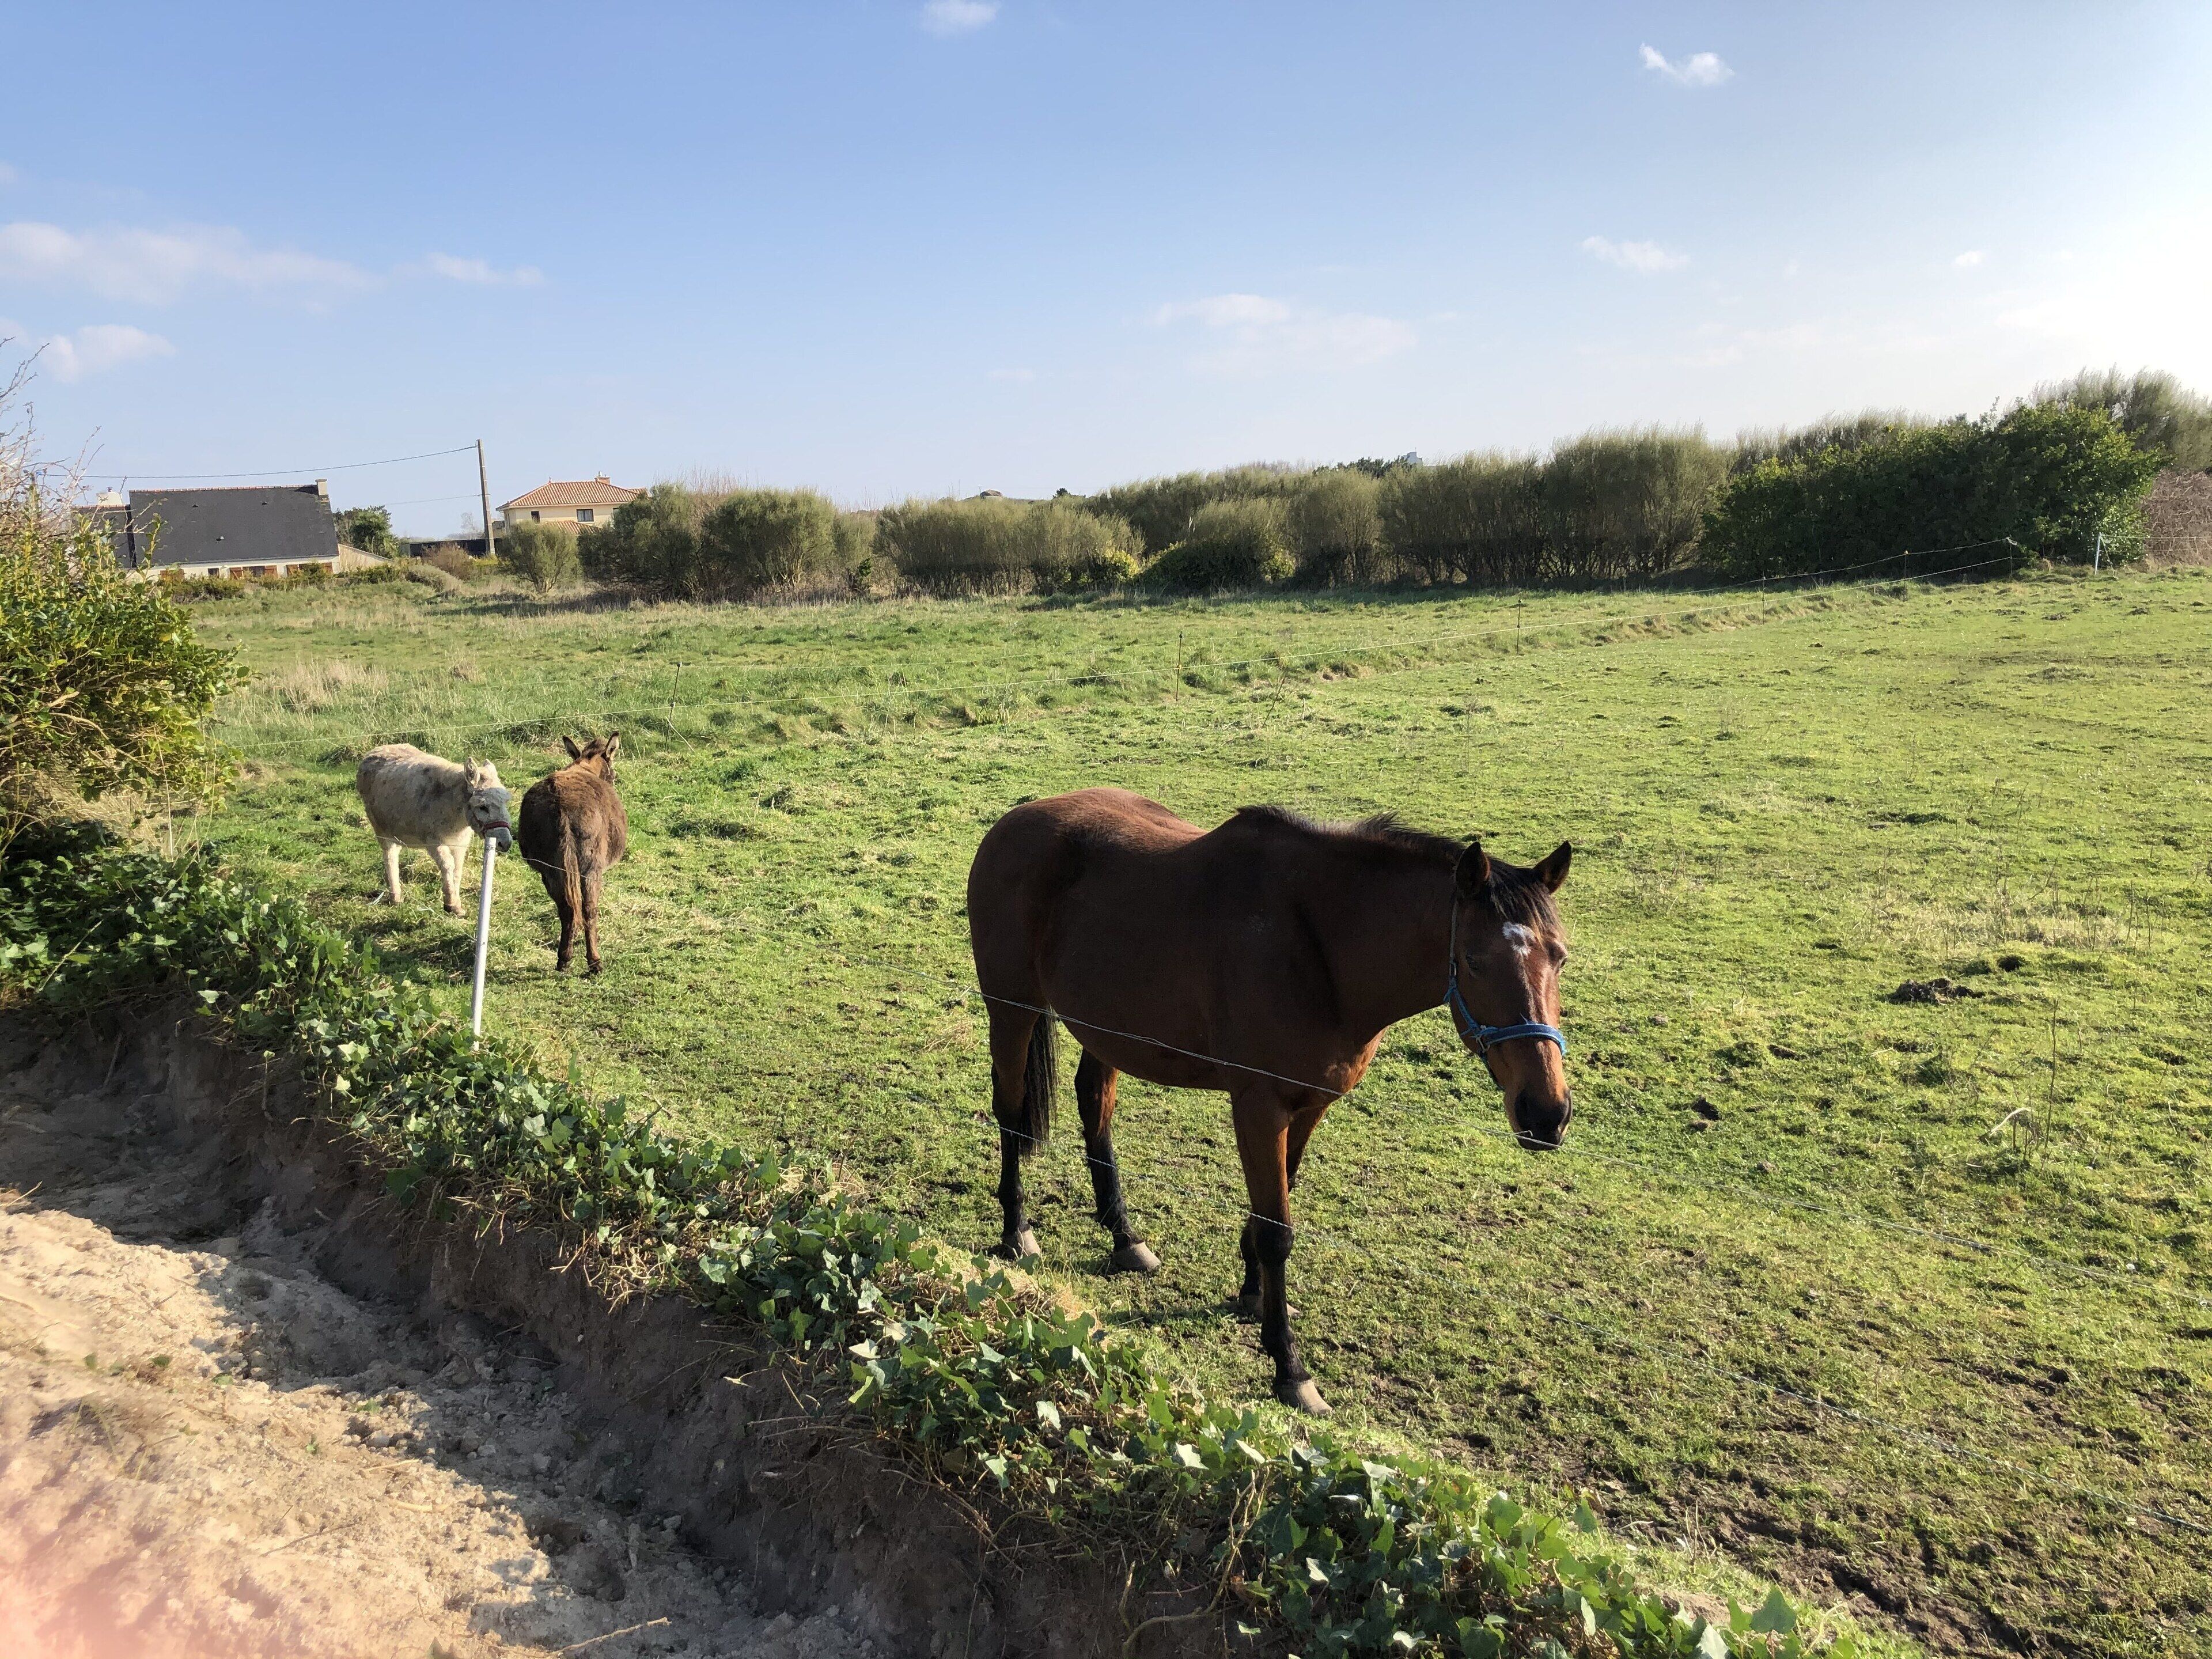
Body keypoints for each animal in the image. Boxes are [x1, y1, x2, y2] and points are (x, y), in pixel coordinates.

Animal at [354, 745, 514, 914]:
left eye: (505, 803)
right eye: (483, 807)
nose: (506, 843)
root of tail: (381, 748)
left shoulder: (461, 843)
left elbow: (458, 869)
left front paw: (457, 904)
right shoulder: (434, 841)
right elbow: (448, 865)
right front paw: (451, 904)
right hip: (382, 829)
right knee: (390, 857)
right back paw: (396, 897)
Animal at [517, 735, 628, 974]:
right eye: (614, 775)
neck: (586, 765)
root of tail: (562, 809)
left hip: (551, 869)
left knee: (567, 909)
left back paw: (564, 959)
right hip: (591, 865)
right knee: (589, 909)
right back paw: (595, 962)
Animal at [965, 788, 1572, 1415]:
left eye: (1560, 957)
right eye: (1474, 959)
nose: (1545, 1113)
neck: (1318, 948)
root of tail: (1020, 817)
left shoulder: (1310, 1104)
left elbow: (1275, 1203)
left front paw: (1253, 1294)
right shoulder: (1258, 1106)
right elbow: (1277, 1230)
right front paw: (1289, 1367)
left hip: (1105, 1028)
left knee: (1095, 1110)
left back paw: (1126, 1239)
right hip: (1011, 1009)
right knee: (1010, 1113)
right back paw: (1016, 1233)